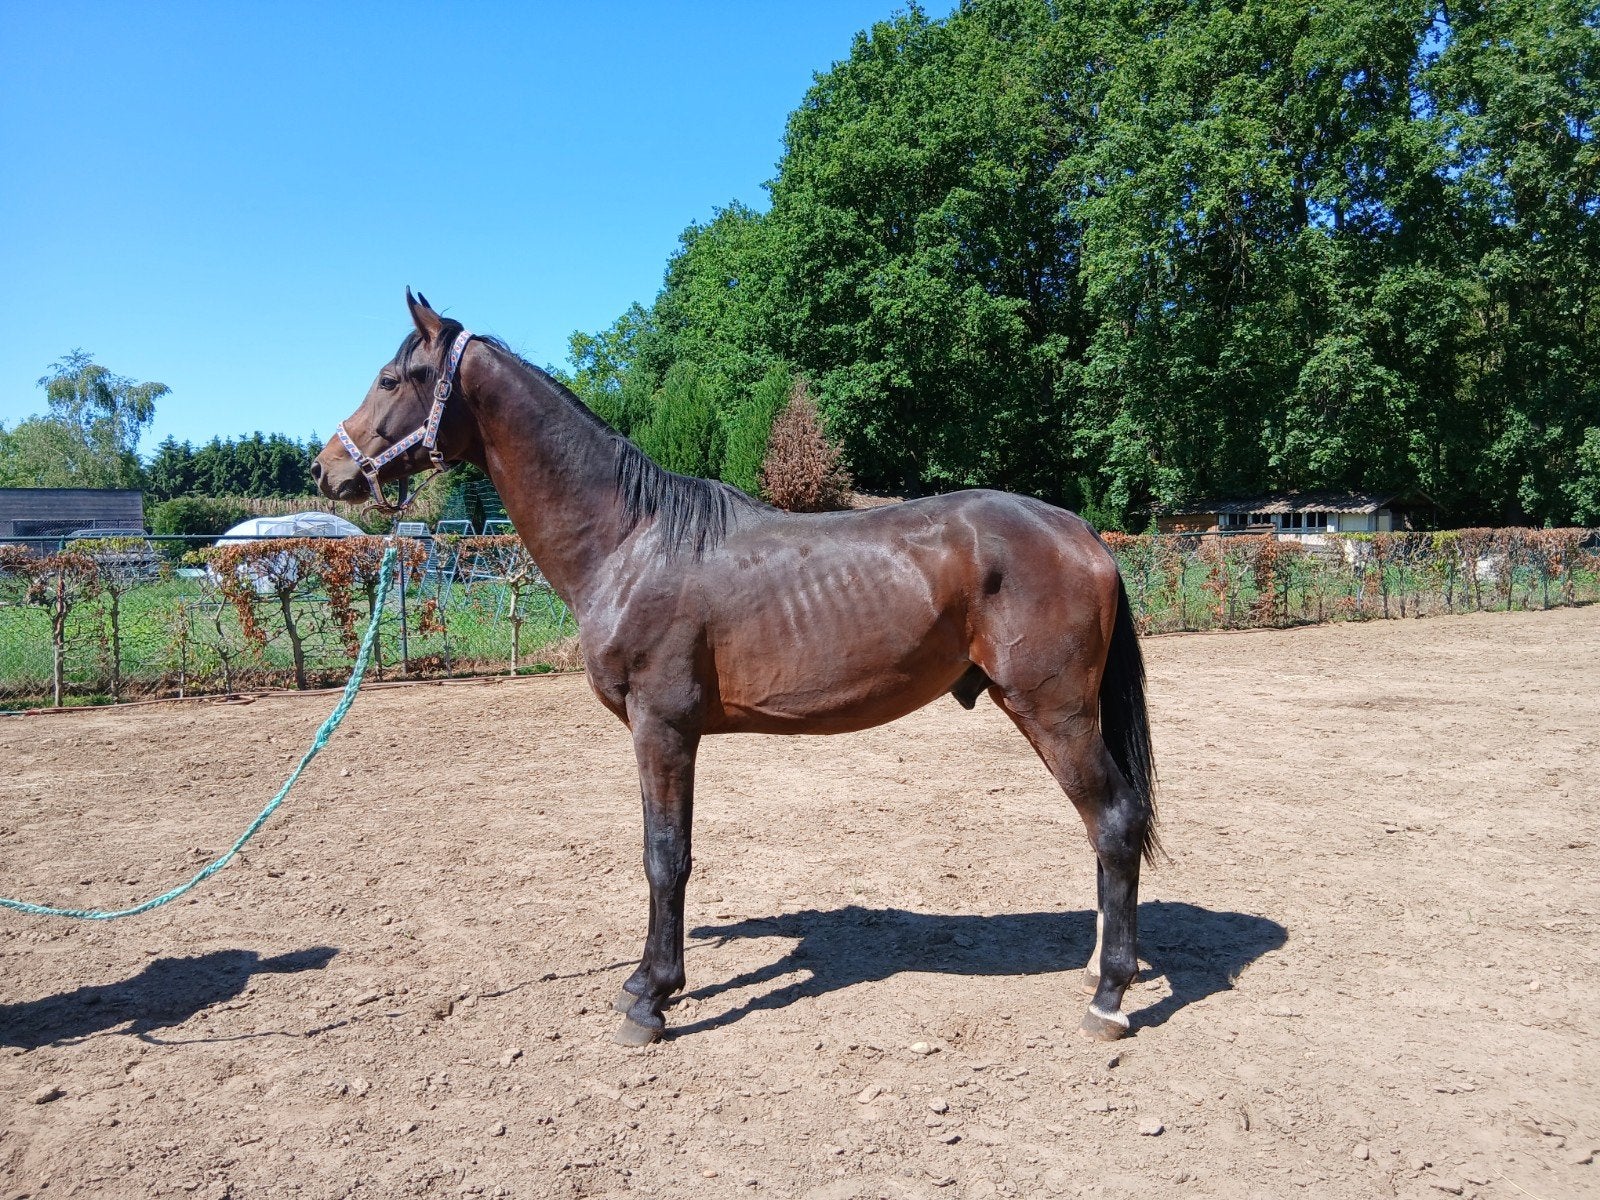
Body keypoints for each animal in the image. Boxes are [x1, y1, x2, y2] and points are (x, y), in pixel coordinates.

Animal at [313, 291, 1160, 1046]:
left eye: (393, 378)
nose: (327, 470)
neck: (631, 538)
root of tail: (1082, 533)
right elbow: (663, 853)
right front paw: (646, 981)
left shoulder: (662, 728)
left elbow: (665, 858)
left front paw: (652, 999)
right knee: (1104, 829)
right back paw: (1098, 967)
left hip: (1055, 713)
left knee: (1115, 822)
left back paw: (1110, 999)